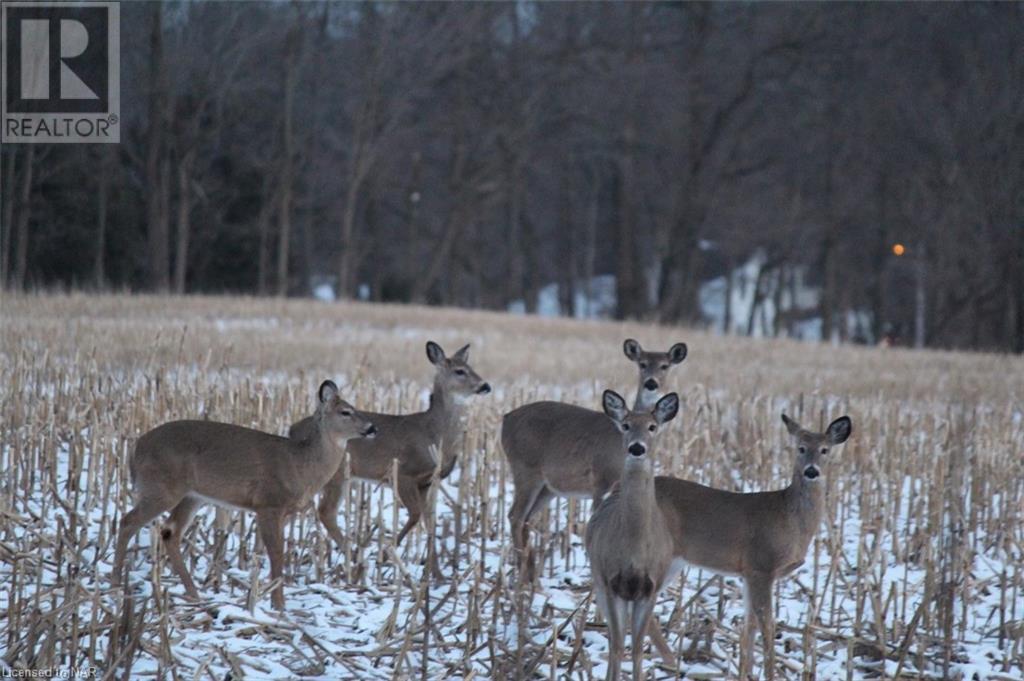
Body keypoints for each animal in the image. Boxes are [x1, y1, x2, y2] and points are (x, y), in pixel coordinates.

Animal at [109, 378, 380, 606]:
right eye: (345, 411)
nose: (372, 428)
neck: (300, 464)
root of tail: (136, 448)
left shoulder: (285, 512)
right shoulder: (268, 504)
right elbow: (277, 554)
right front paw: (279, 607)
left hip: (192, 495)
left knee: (169, 531)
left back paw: (194, 595)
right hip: (161, 488)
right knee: (128, 521)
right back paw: (115, 584)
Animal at [290, 337, 489, 569]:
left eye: (471, 367)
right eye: (460, 371)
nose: (485, 386)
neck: (435, 433)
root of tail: (292, 429)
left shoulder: (428, 481)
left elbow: (429, 521)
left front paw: (434, 568)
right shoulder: (404, 473)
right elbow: (415, 515)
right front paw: (385, 554)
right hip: (335, 473)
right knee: (326, 512)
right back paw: (353, 556)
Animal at [499, 337, 684, 581]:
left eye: (665, 365)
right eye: (642, 364)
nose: (651, 383)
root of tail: (506, 419)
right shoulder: (600, 480)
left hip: (548, 487)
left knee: (526, 519)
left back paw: (530, 573)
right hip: (525, 469)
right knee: (516, 516)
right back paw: (525, 577)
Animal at [585, 387, 679, 679]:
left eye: (652, 426)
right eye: (626, 425)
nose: (637, 447)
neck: (635, 551)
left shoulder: (650, 588)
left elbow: (637, 649)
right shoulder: (610, 581)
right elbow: (617, 646)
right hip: (600, 581)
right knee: (614, 641)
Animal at [651, 411, 851, 675]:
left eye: (825, 450)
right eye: (800, 448)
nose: (811, 471)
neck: (790, 520)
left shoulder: (749, 573)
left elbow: (749, 629)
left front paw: (746, 673)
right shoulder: (761, 565)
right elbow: (767, 626)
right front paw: (770, 672)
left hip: (673, 560)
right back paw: (671, 662)